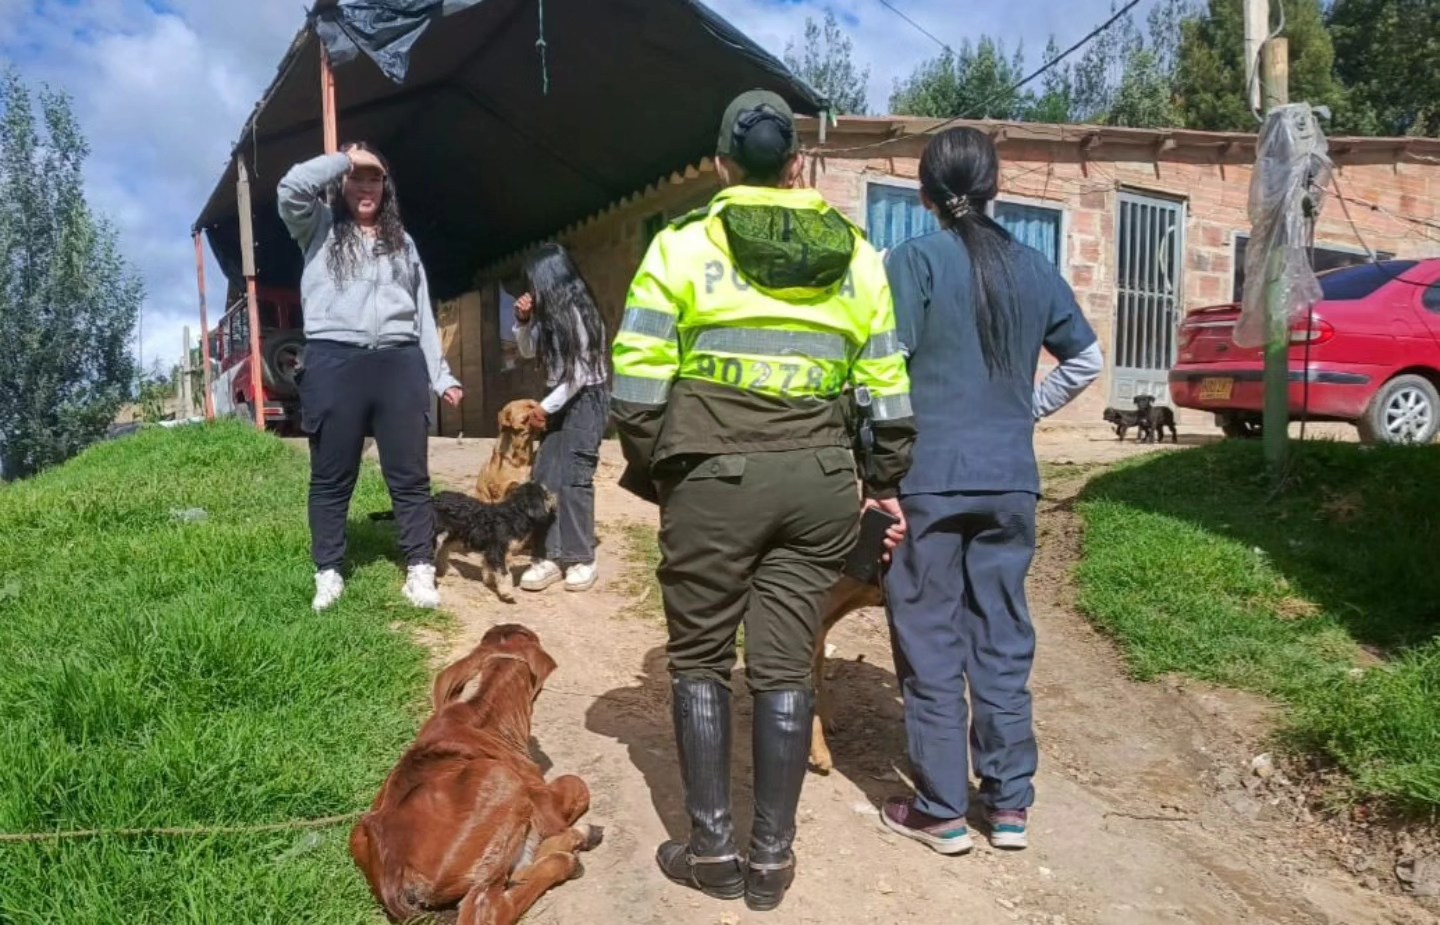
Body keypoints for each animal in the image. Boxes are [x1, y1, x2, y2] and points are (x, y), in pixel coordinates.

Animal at [349, 624, 603, 925]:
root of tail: (389, 866)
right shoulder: (543, 802)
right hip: (502, 783)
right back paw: (568, 856)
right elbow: (577, 784)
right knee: (488, 907)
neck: (487, 720)